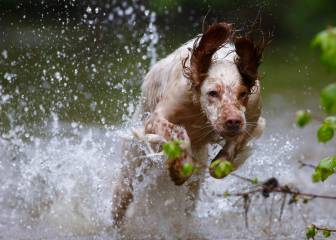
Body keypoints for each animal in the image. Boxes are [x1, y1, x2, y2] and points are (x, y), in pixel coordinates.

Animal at [112, 21, 268, 226]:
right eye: (212, 93)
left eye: (242, 94)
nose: (233, 121)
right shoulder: (156, 118)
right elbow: (178, 133)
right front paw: (179, 169)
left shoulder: (252, 116)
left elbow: (224, 159)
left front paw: (218, 162)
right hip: (129, 168)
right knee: (122, 199)